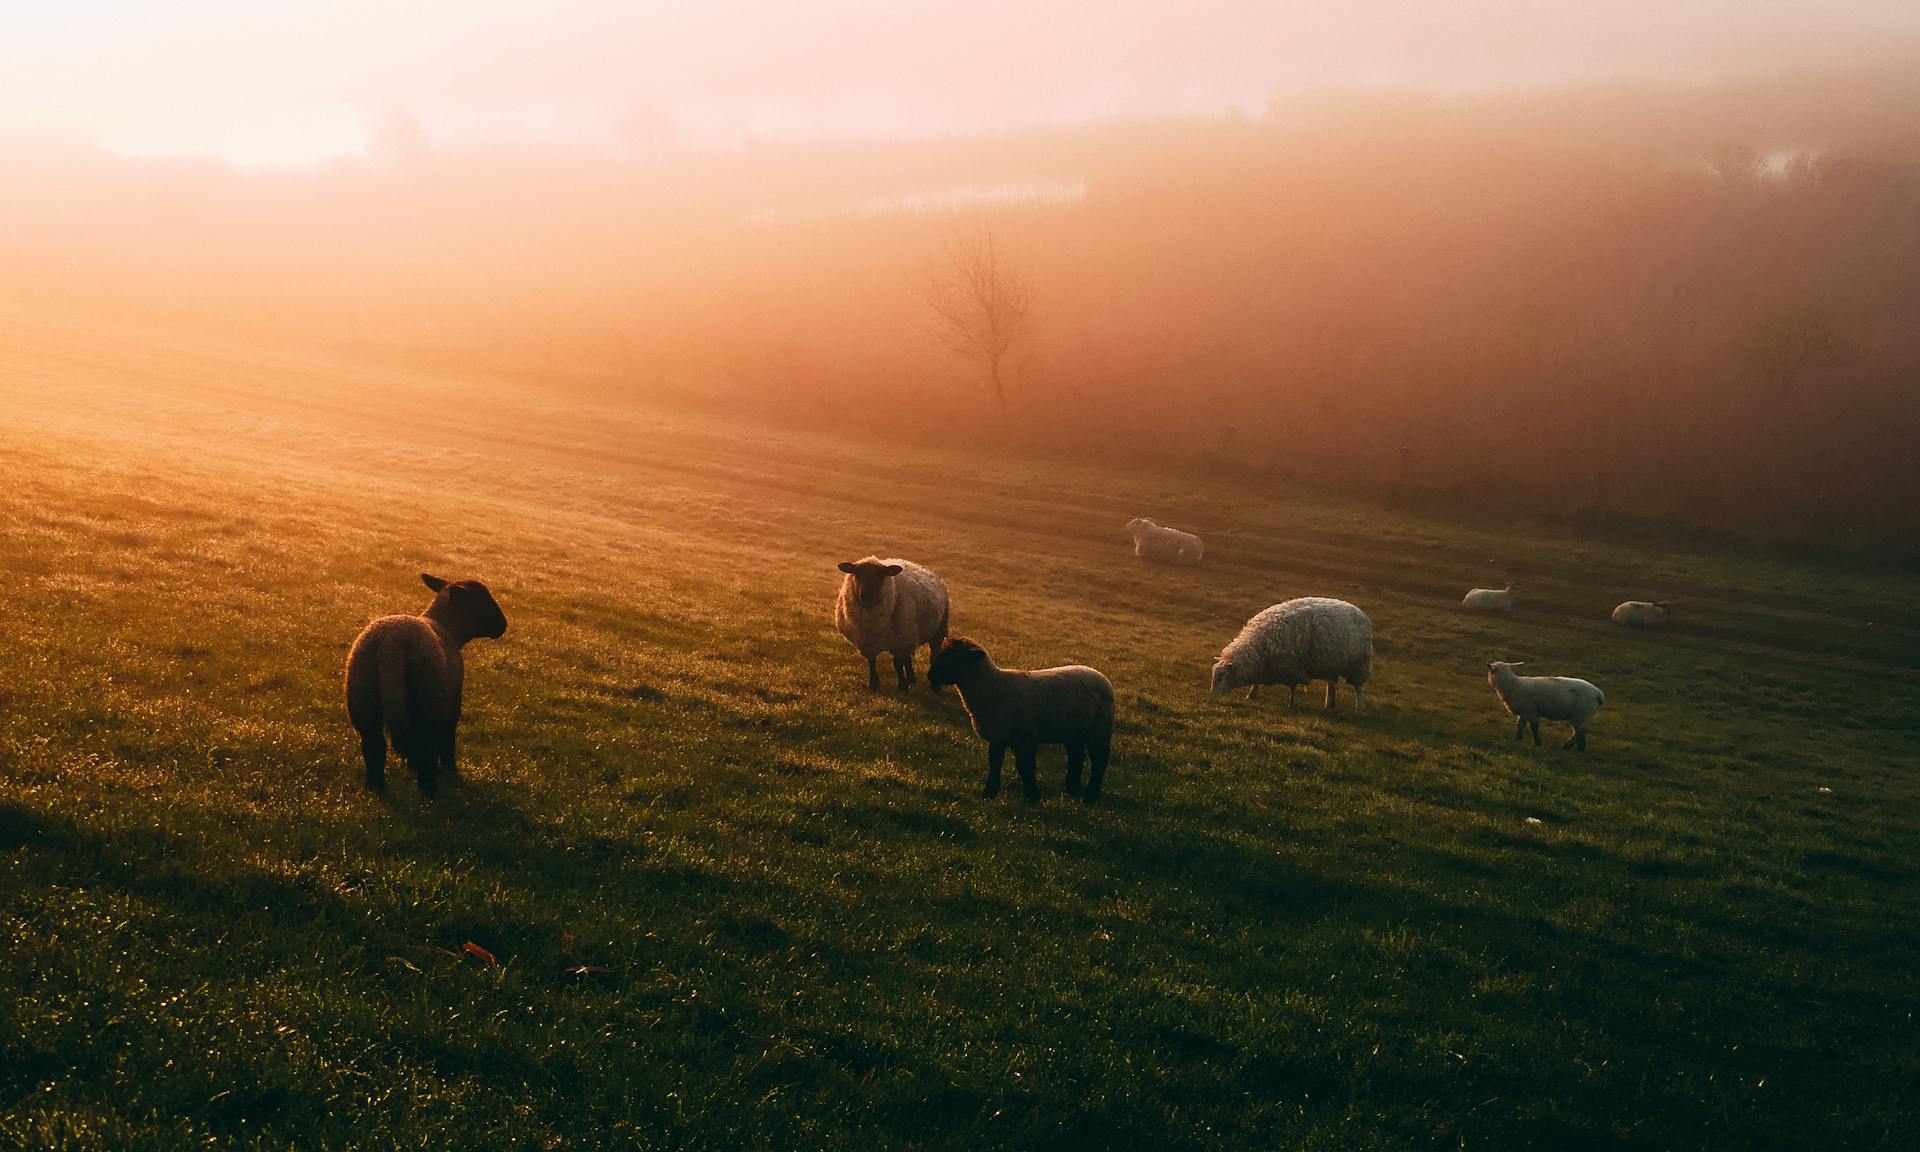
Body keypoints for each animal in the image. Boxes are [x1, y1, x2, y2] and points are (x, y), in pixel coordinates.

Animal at [345, 572, 506, 794]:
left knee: (374, 747)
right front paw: (450, 770)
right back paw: (429, 791)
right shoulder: (453, 701)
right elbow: (448, 739)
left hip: (362, 697)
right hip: (428, 699)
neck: (447, 627)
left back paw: (376, 789)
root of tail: (390, 646)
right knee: (425, 748)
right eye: (482, 600)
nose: (503, 625)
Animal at [833, 556, 952, 691]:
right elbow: (872, 661)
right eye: (856, 574)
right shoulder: (869, 643)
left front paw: (903, 687)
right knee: (908, 658)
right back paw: (911, 678)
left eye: (880, 575)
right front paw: (874, 685)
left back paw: (934, 687)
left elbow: (898, 664)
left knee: (933, 654)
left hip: (937, 628)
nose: (866, 595)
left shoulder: (900, 642)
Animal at [925, 633, 1121, 806]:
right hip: (1074, 729)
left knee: (1099, 759)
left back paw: (1091, 796)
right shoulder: (998, 736)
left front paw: (1032, 796)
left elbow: (1025, 766)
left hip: (1100, 727)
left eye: (955, 658)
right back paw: (1071, 790)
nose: (930, 675)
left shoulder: (1024, 736)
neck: (994, 686)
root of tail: (1102, 677)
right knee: (1076, 756)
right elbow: (995, 763)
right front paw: (989, 793)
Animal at [1205, 599, 1374, 706]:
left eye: (1221, 675)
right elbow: (1256, 682)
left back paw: (1360, 708)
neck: (1259, 646)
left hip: (1359, 664)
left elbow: (1293, 687)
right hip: (1332, 666)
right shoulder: (1265, 665)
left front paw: (1292, 703)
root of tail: (1360, 613)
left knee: (1359, 688)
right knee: (1331, 685)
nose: (1212, 696)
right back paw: (1329, 705)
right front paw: (1251, 695)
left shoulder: (1291, 667)